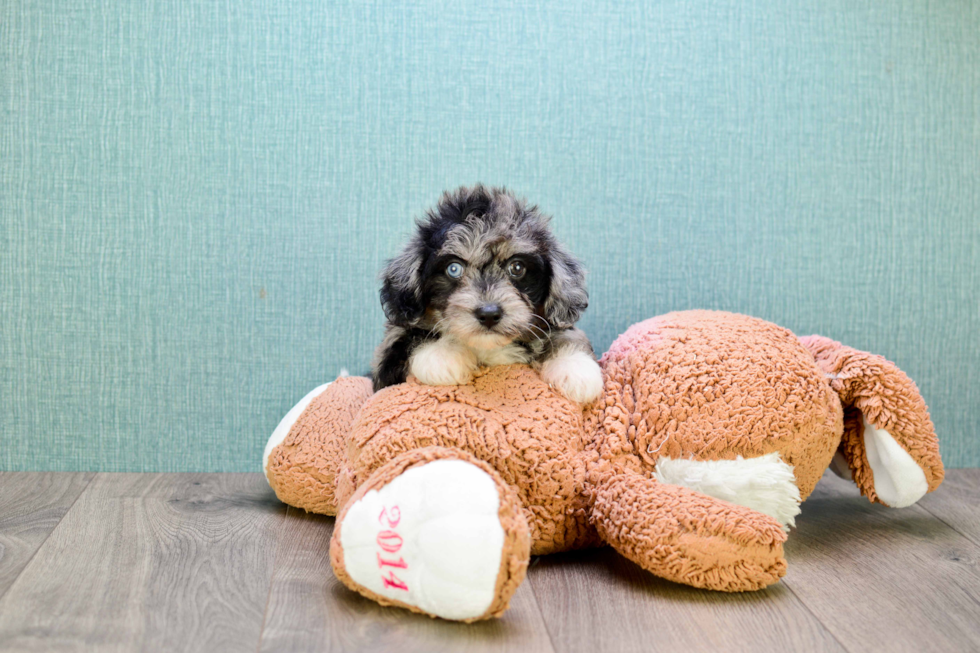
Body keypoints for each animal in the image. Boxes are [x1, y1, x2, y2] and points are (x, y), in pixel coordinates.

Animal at [370, 183, 604, 402]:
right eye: (453, 268)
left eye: (517, 267)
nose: (489, 314)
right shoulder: (385, 363)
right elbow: (412, 337)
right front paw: (442, 356)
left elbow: (565, 334)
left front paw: (575, 368)